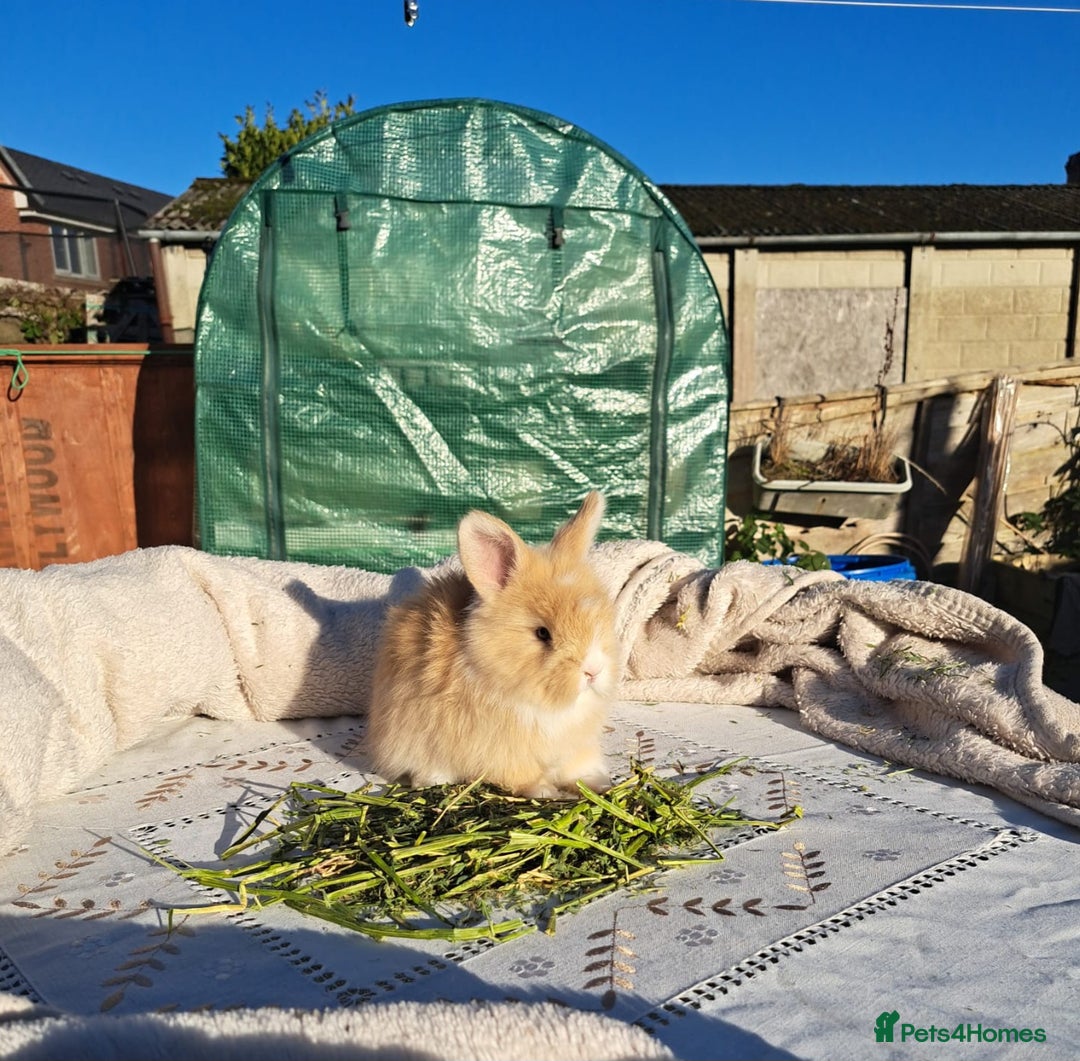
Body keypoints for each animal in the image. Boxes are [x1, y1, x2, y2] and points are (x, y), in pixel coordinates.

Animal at [366, 491, 619, 798]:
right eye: (542, 633)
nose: (593, 670)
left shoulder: (576, 745)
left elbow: (578, 767)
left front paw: (597, 782)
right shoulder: (503, 751)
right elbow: (520, 774)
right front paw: (544, 791)